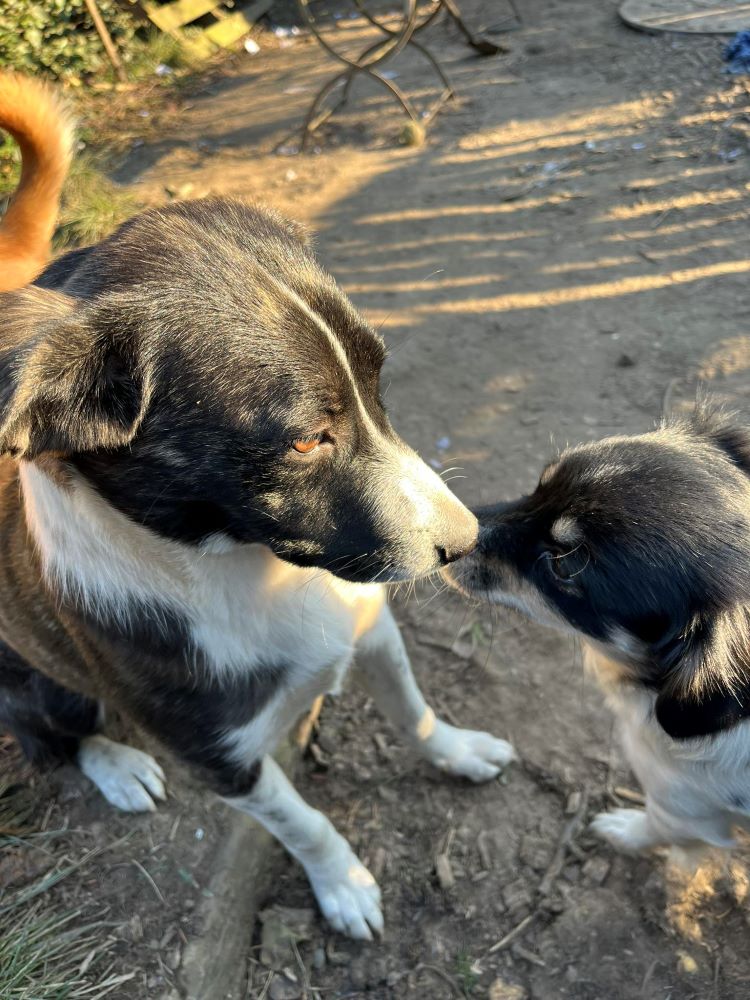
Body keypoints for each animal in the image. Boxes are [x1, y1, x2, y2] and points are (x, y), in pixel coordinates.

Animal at [0, 76, 516, 936]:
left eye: (379, 381)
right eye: (306, 440)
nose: (467, 542)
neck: (242, 570)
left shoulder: (372, 630)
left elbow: (413, 713)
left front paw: (458, 750)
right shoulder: (222, 758)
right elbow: (304, 823)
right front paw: (343, 885)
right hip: (46, 685)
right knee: (53, 739)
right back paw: (118, 766)